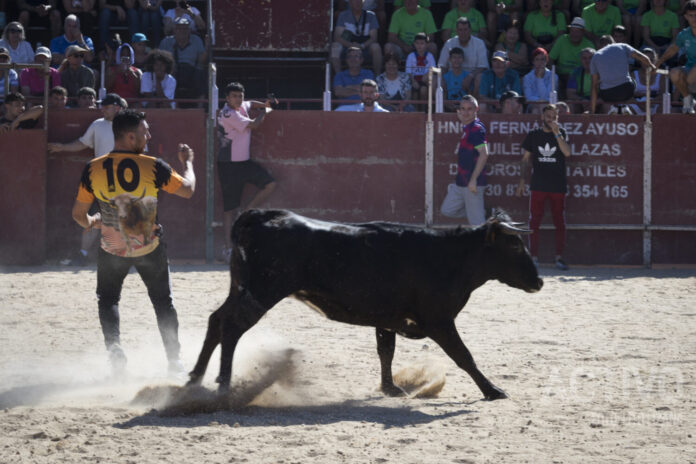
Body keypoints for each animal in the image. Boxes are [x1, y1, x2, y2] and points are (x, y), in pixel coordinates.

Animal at [189, 208, 544, 400]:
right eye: (514, 245)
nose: (539, 282)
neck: (449, 256)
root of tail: (260, 216)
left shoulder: (387, 318)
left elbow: (385, 351)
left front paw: (391, 388)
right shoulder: (440, 320)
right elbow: (464, 356)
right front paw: (493, 390)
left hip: (241, 289)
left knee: (216, 320)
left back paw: (194, 377)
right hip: (262, 293)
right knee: (232, 327)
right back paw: (223, 385)